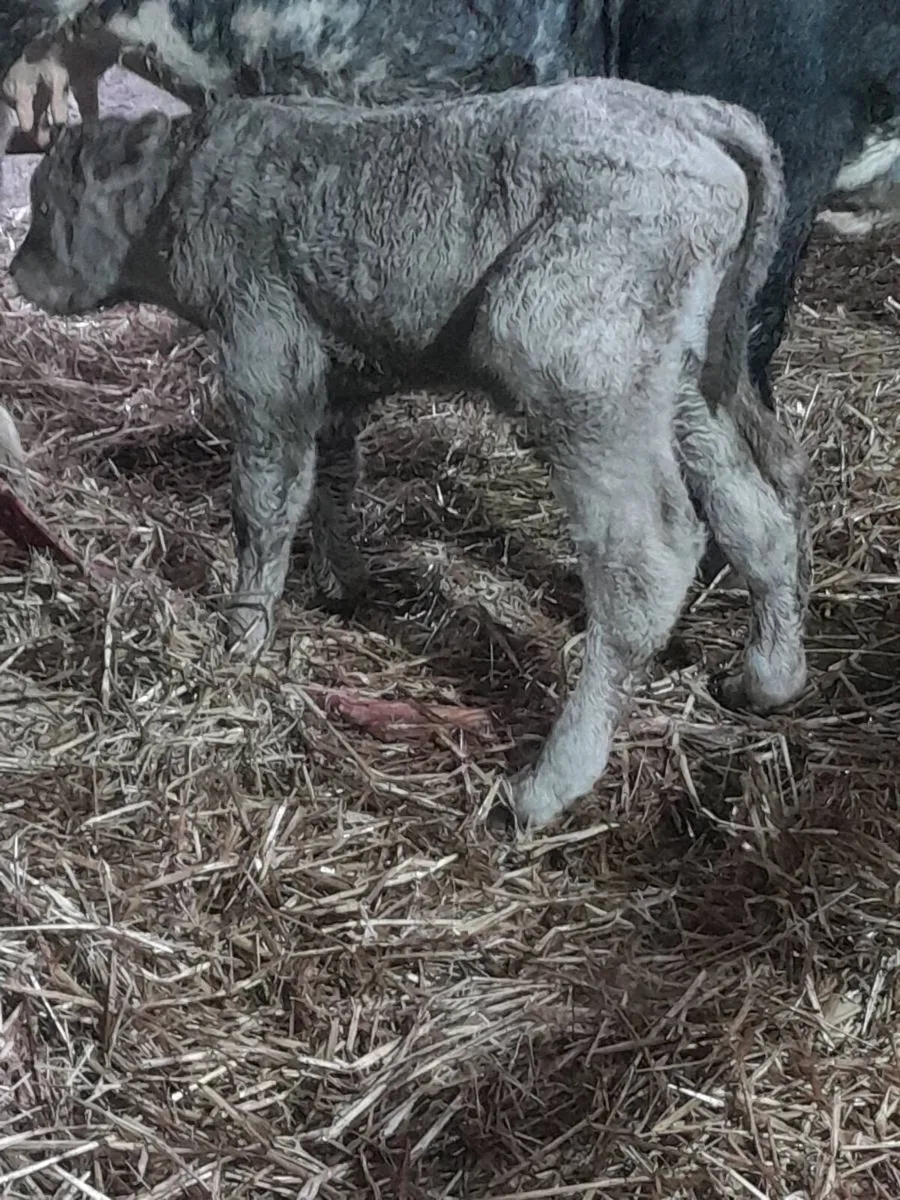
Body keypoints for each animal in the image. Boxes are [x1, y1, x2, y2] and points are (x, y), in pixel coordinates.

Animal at [8, 80, 809, 829]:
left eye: (48, 203)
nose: (17, 273)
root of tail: (685, 112)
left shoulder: (265, 347)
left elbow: (263, 504)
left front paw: (242, 636)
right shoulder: (334, 371)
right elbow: (333, 474)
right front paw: (341, 582)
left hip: (569, 355)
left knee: (647, 562)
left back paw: (548, 785)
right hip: (680, 380)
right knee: (755, 515)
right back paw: (768, 676)